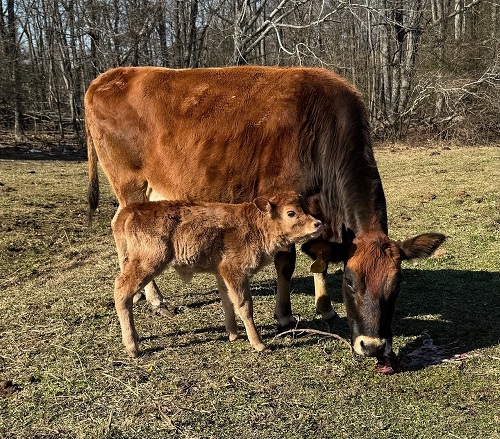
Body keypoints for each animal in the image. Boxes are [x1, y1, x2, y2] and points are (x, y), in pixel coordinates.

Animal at [112, 192, 324, 358]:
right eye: (291, 213)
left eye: (306, 208)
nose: (318, 224)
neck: (254, 224)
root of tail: (129, 212)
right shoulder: (236, 273)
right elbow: (244, 306)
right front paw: (259, 344)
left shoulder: (222, 275)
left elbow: (227, 302)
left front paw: (234, 335)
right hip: (147, 265)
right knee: (122, 292)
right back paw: (132, 346)